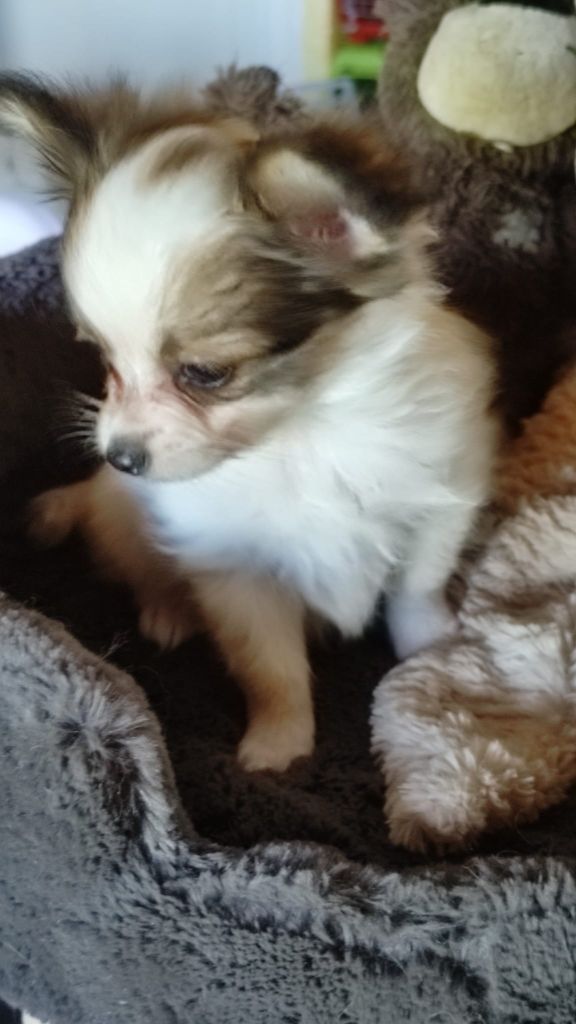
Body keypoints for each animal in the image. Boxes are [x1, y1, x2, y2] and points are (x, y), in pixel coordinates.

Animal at [0, 75, 497, 771]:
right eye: (104, 359)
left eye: (205, 373)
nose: (120, 456)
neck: (309, 427)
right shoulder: (238, 572)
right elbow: (272, 667)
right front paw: (279, 746)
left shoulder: (438, 501)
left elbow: (416, 591)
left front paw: (428, 652)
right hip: (124, 524)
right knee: (142, 572)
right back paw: (168, 613)